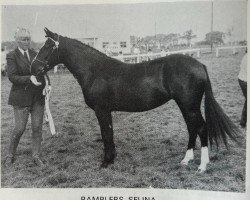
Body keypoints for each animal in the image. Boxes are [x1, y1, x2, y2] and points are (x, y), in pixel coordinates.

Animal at [30, 27, 239, 172]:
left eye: (48, 47)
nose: (34, 68)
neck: (95, 71)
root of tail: (199, 65)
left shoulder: (102, 110)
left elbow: (106, 135)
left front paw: (106, 162)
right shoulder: (106, 111)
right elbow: (109, 134)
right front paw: (111, 159)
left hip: (190, 105)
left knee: (201, 128)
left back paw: (202, 165)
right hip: (186, 105)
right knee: (192, 127)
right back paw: (186, 160)